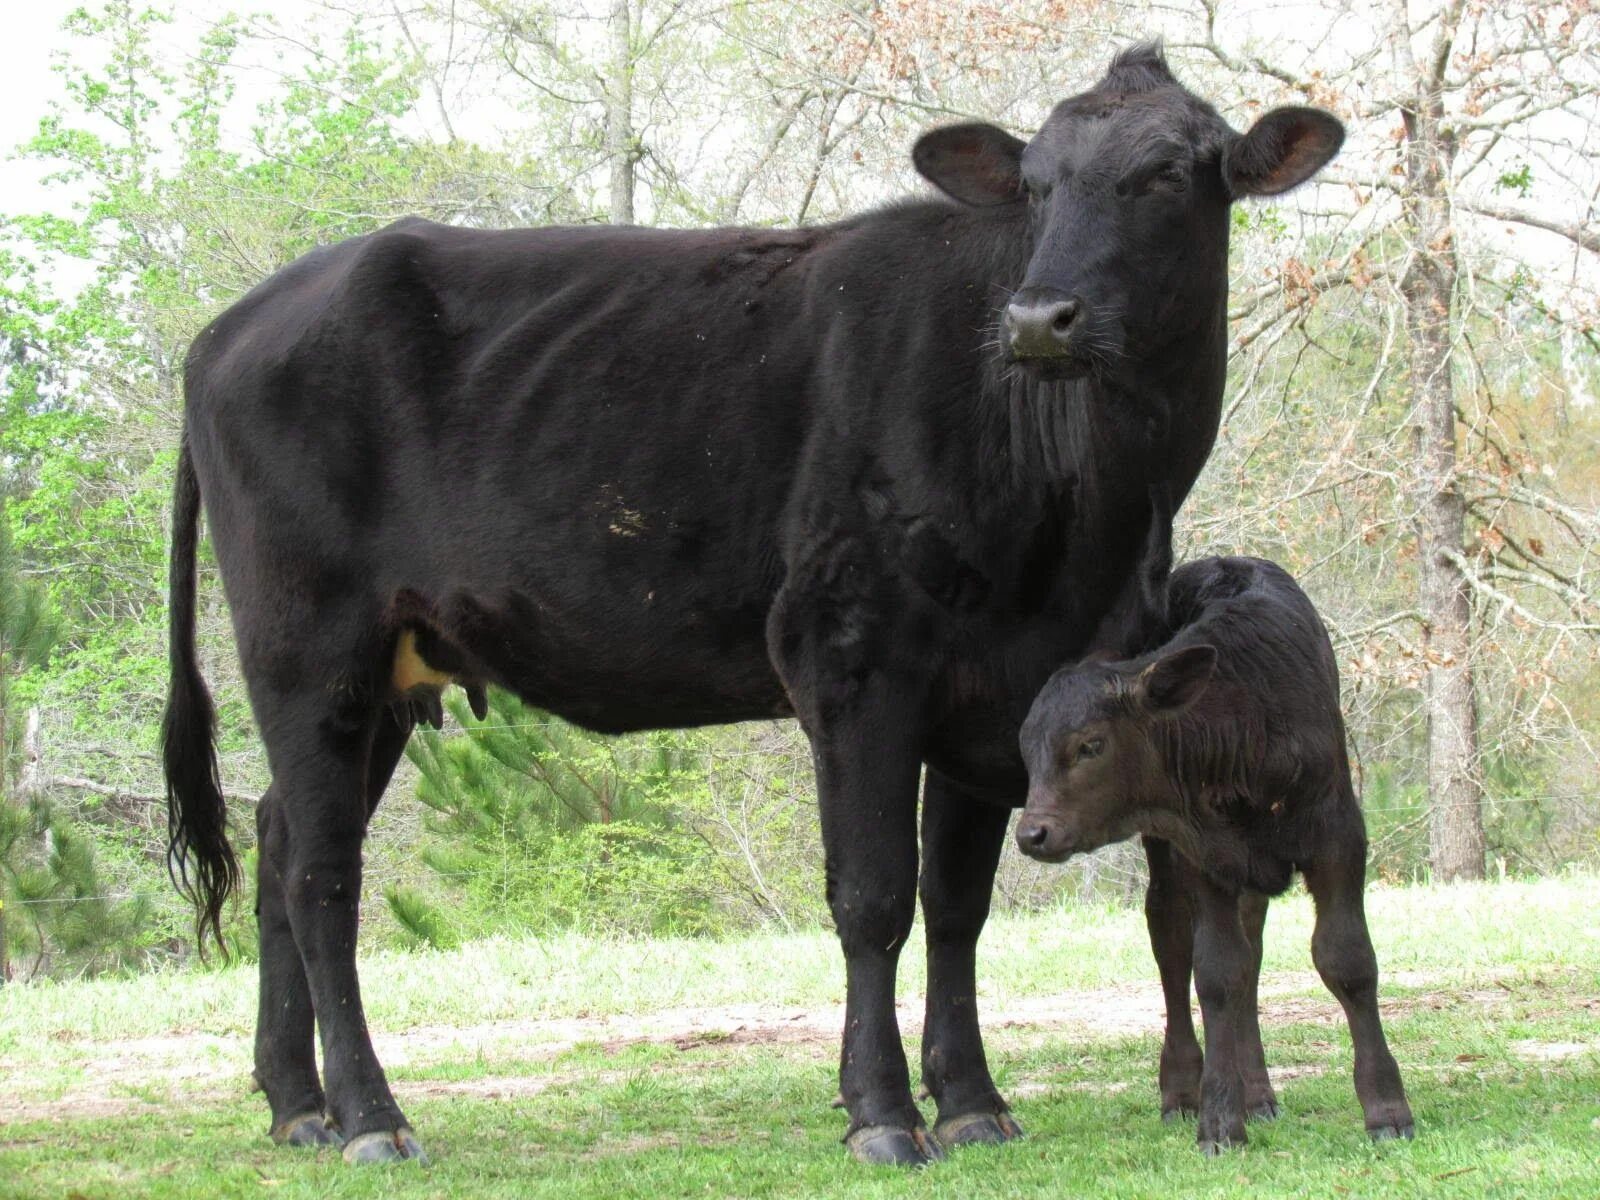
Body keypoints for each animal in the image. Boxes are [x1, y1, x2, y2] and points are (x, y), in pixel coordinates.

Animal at [159, 44, 1337, 1164]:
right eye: (1035, 185)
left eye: (1167, 175)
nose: (1039, 318)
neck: (1093, 512)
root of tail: (230, 328)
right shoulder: (852, 658)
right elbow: (874, 897)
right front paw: (881, 1114)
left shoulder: (1002, 691)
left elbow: (957, 908)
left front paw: (971, 1103)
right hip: (307, 646)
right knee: (320, 875)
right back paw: (369, 1116)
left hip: (386, 674)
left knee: (278, 838)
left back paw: (297, 1105)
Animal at [1024, 518, 1414, 1158]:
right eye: (1025, 748)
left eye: (1090, 745)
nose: (1033, 832)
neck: (1245, 727)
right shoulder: (1200, 852)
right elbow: (1216, 975)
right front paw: (1218, 1117)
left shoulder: (1339, 836)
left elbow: (1345, 958)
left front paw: (1386, 1108)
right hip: (1171, 858)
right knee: (1173, 948)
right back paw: (1185, 1088)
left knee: (1251, 950)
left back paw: (1259, 1092)